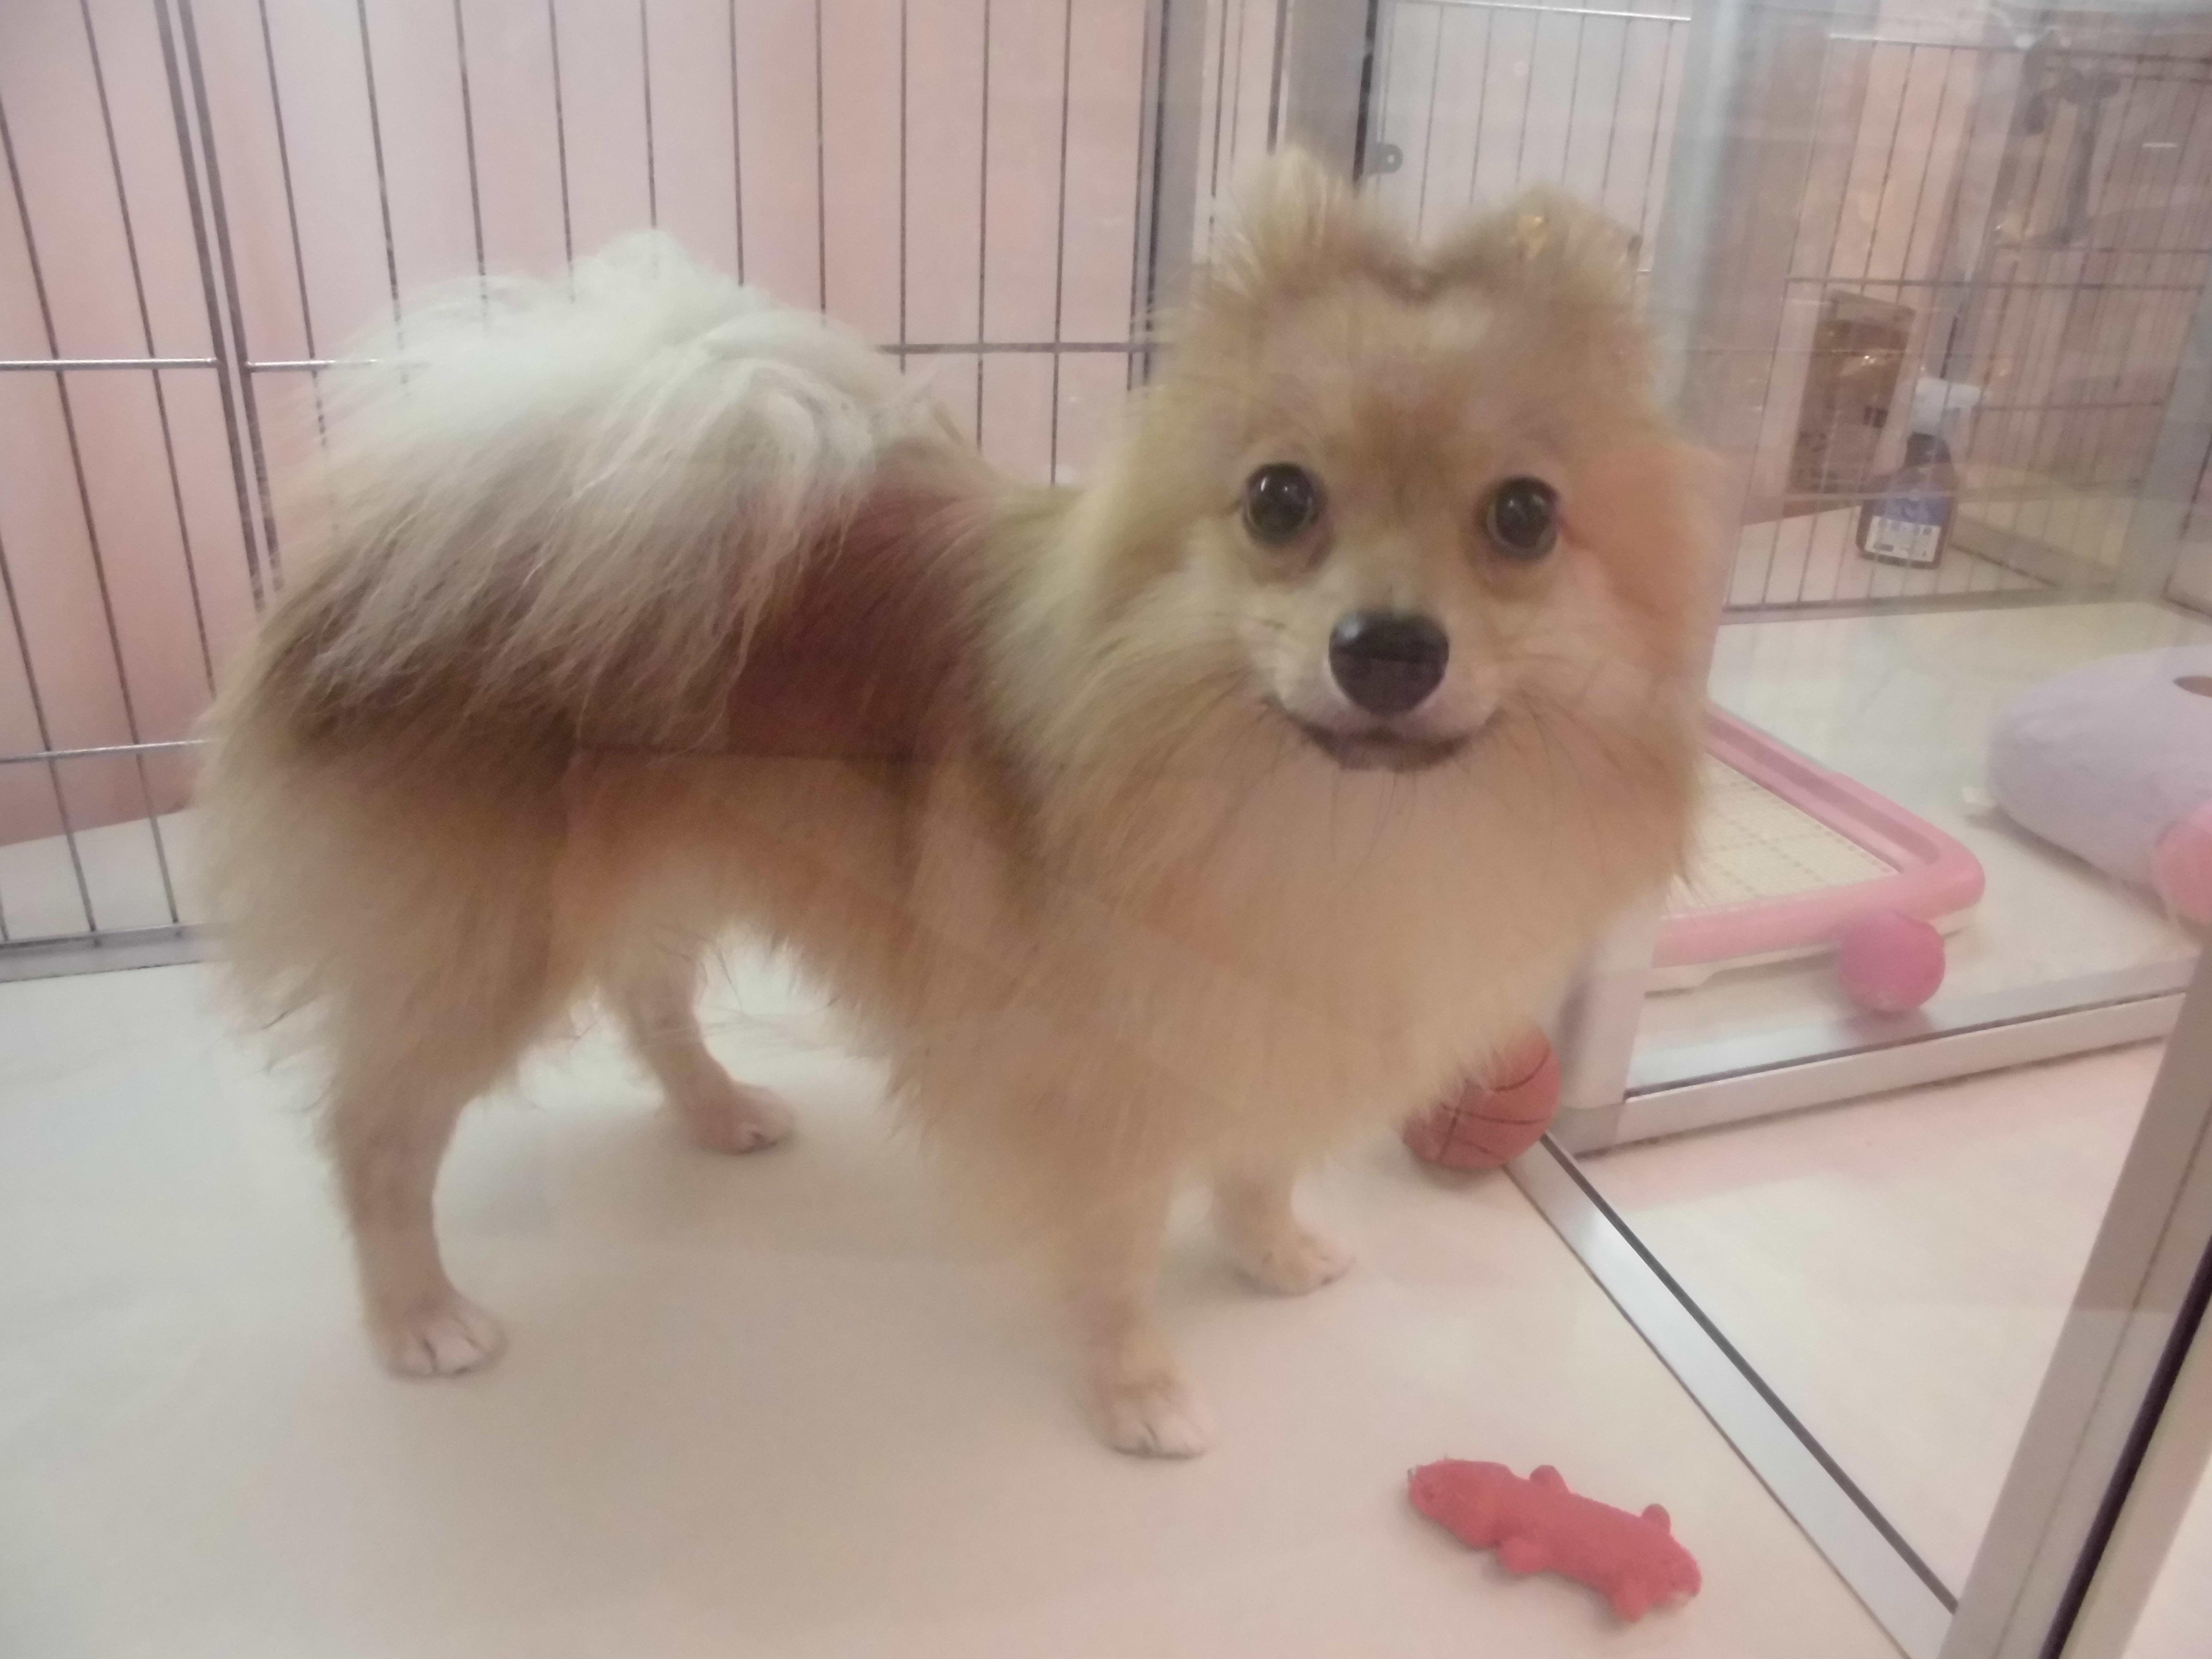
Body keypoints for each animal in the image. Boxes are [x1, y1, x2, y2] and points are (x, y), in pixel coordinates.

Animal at [199, 152, 1711, 1457]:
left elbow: (1258, 1162)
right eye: (1281, 500)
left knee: (650, 992)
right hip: (487, 940)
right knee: (377, 1129)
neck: (1319, 814)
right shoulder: (1094, 1075)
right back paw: (420, 1317)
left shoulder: (1272, 1006)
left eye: (1523, 518)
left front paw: (1273, 1251)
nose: (1388, 646)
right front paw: (1138, 1391)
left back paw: (719, 1111)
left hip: (666, 850)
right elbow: (1114, 1249)